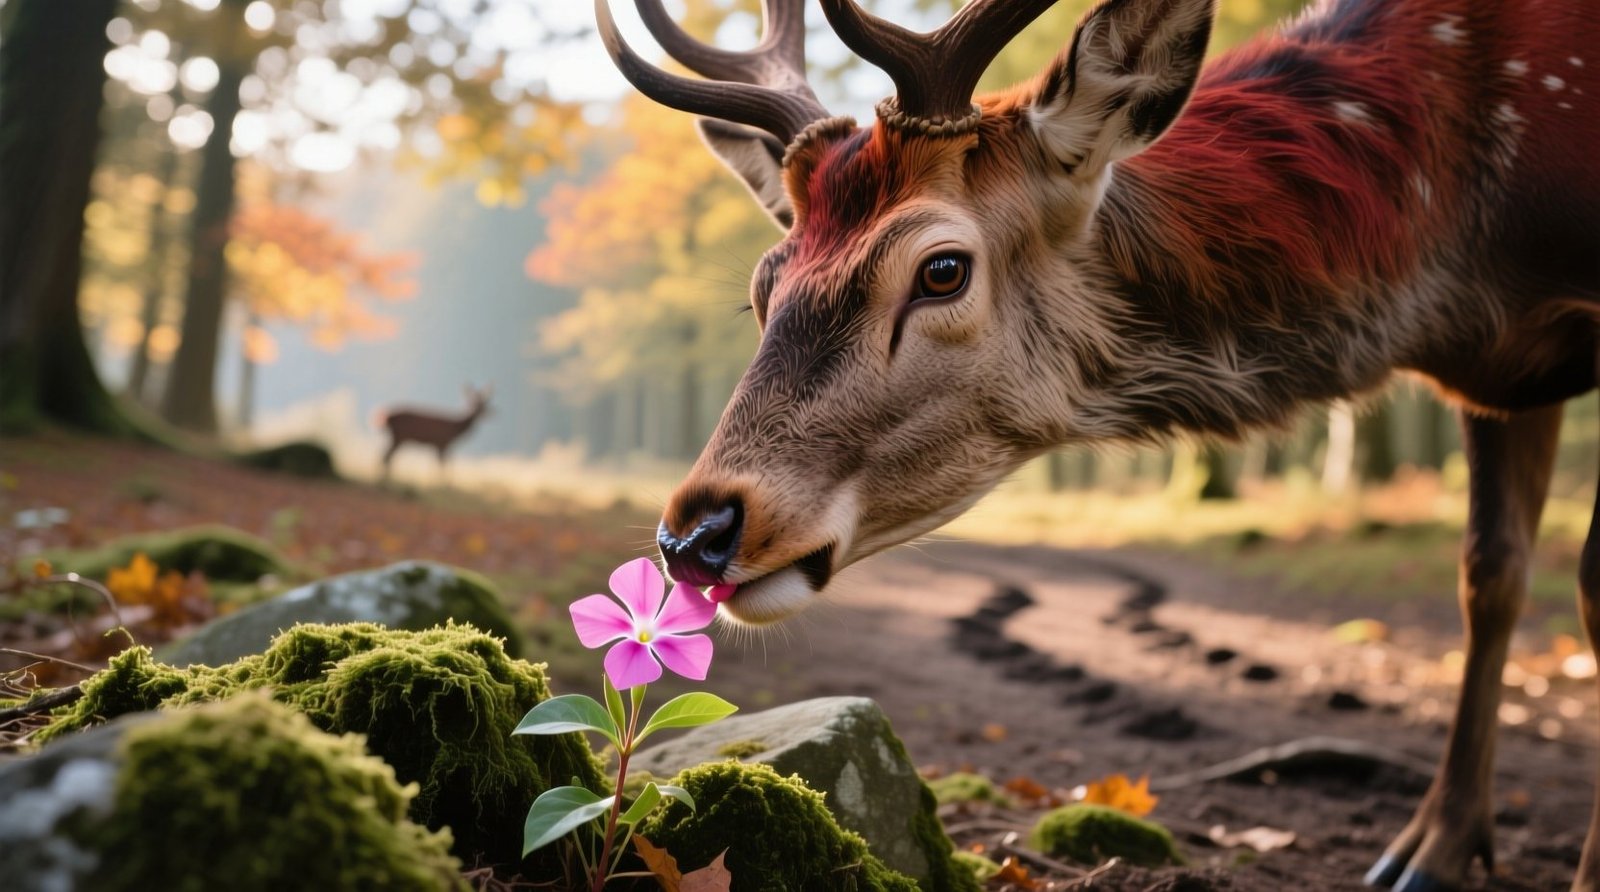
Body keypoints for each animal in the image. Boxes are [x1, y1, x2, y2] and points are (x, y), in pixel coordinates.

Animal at [596, 0, 1600, 888]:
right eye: (765, 284)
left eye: (943, 269)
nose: (695, 533)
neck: (1469, 251)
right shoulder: (1501, 378)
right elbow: (1489, 574)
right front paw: (1429, 852)